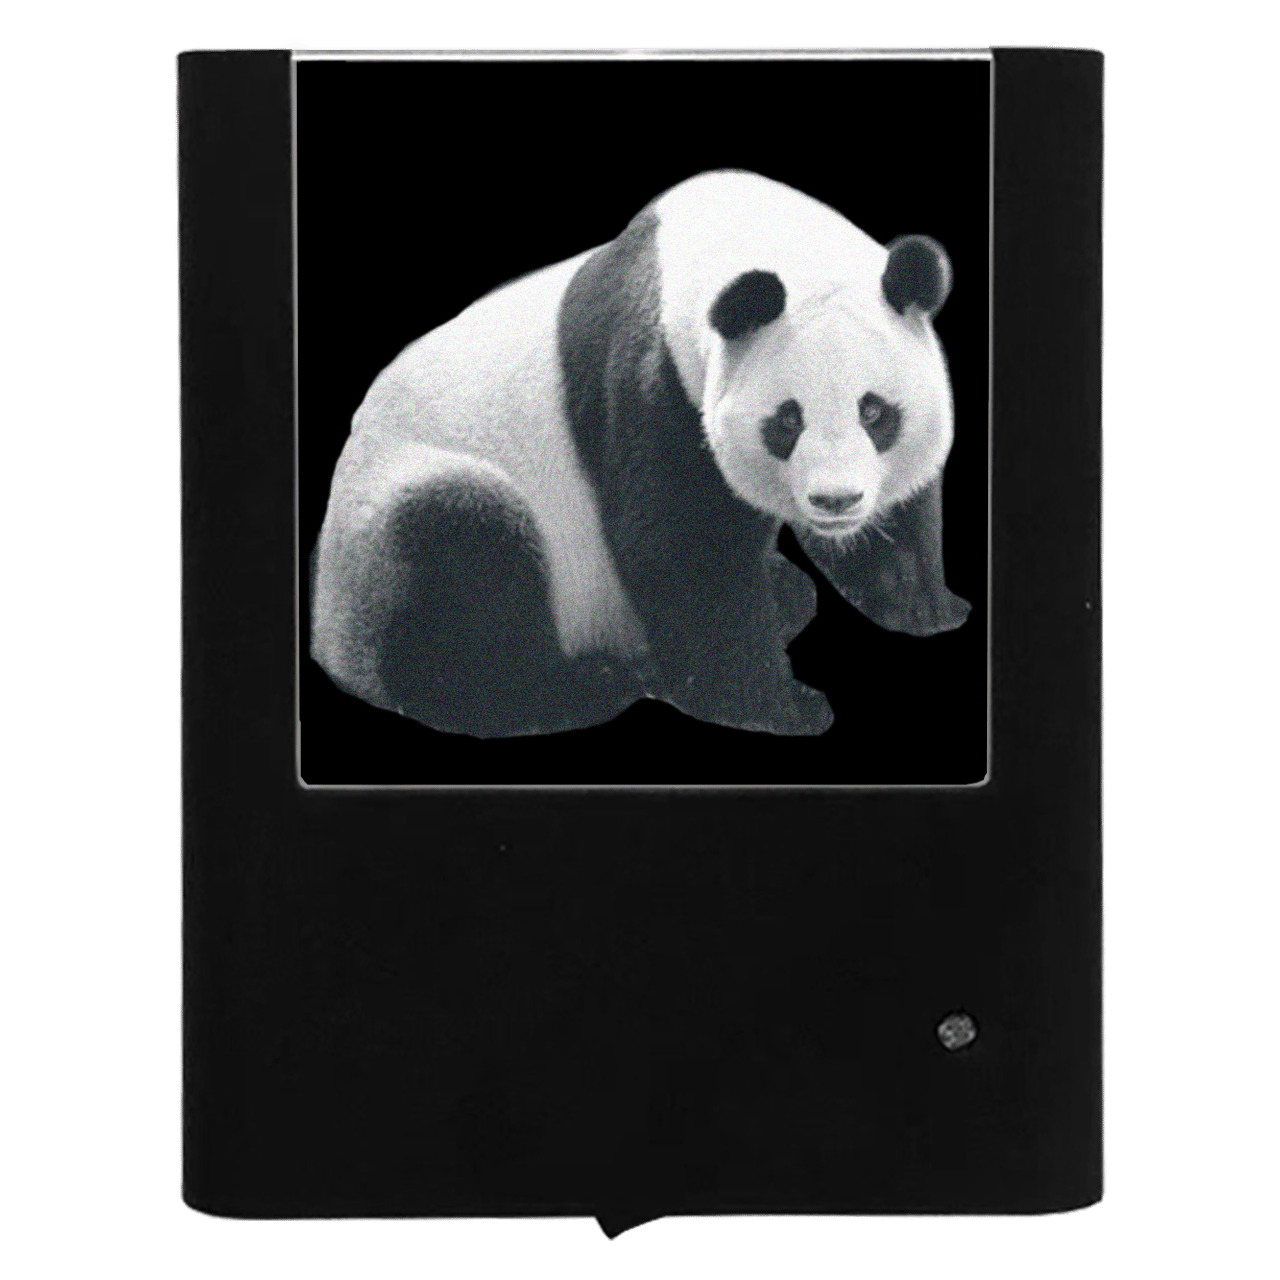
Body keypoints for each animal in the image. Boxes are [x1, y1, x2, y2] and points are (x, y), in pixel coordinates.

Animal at [311, 170, 969, 739]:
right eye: (787, 420)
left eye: (874, 412)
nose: (837, 501)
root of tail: (324, 636)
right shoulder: (654, 384)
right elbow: (681, 545)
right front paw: (782, 706)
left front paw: (929, 607)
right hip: (409, 508)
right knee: (462, 573)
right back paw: (585, 687)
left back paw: (783, 593)